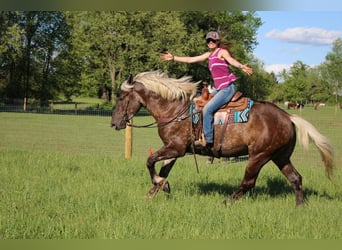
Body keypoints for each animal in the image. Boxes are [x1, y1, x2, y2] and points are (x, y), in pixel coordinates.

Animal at [111, 70, 332, 205]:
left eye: (121, 97)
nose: (114, 123)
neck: (174, 110)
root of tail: (288, 117)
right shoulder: (172, 149)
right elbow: (164, 169)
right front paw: (156, 190)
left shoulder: (176, 148)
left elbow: (150, 161)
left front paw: (159, 185)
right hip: (280, 156)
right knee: (295, 178)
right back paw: (300, 206)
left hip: (259, 156)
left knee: (248, 183)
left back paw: (226, 201)